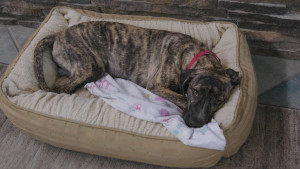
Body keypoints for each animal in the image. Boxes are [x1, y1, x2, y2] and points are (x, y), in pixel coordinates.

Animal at [33, 21, 239, 127]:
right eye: (195, 92)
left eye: (219, 101)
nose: (195, 123)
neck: (195, 55)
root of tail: (58, 34)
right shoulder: (157, 86)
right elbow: (181, 97)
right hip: (89, 67)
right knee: (61, 87)